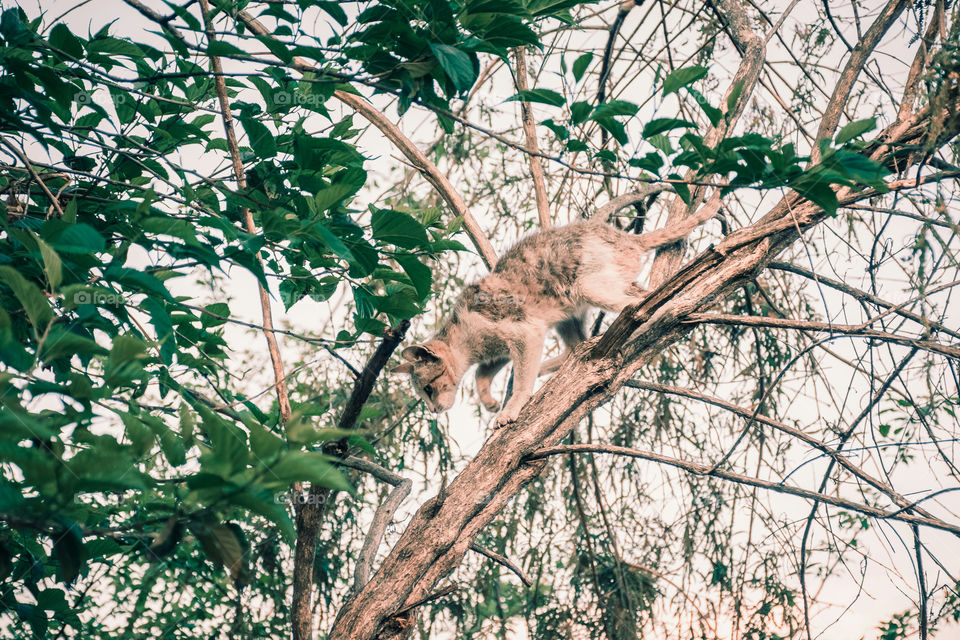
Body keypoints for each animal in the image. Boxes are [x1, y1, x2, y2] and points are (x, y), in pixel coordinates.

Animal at [392, 200, 720, 430]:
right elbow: (481, 375)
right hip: (570, 312)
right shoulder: (500, 348)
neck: (468, 341)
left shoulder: (523, 332)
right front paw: (489, 401)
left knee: (646, 302)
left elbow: (519, 381)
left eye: (429, 389)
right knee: (577, 345)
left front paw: (509, 409)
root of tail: (627, 239)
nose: (433, 410)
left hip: (590, 286)